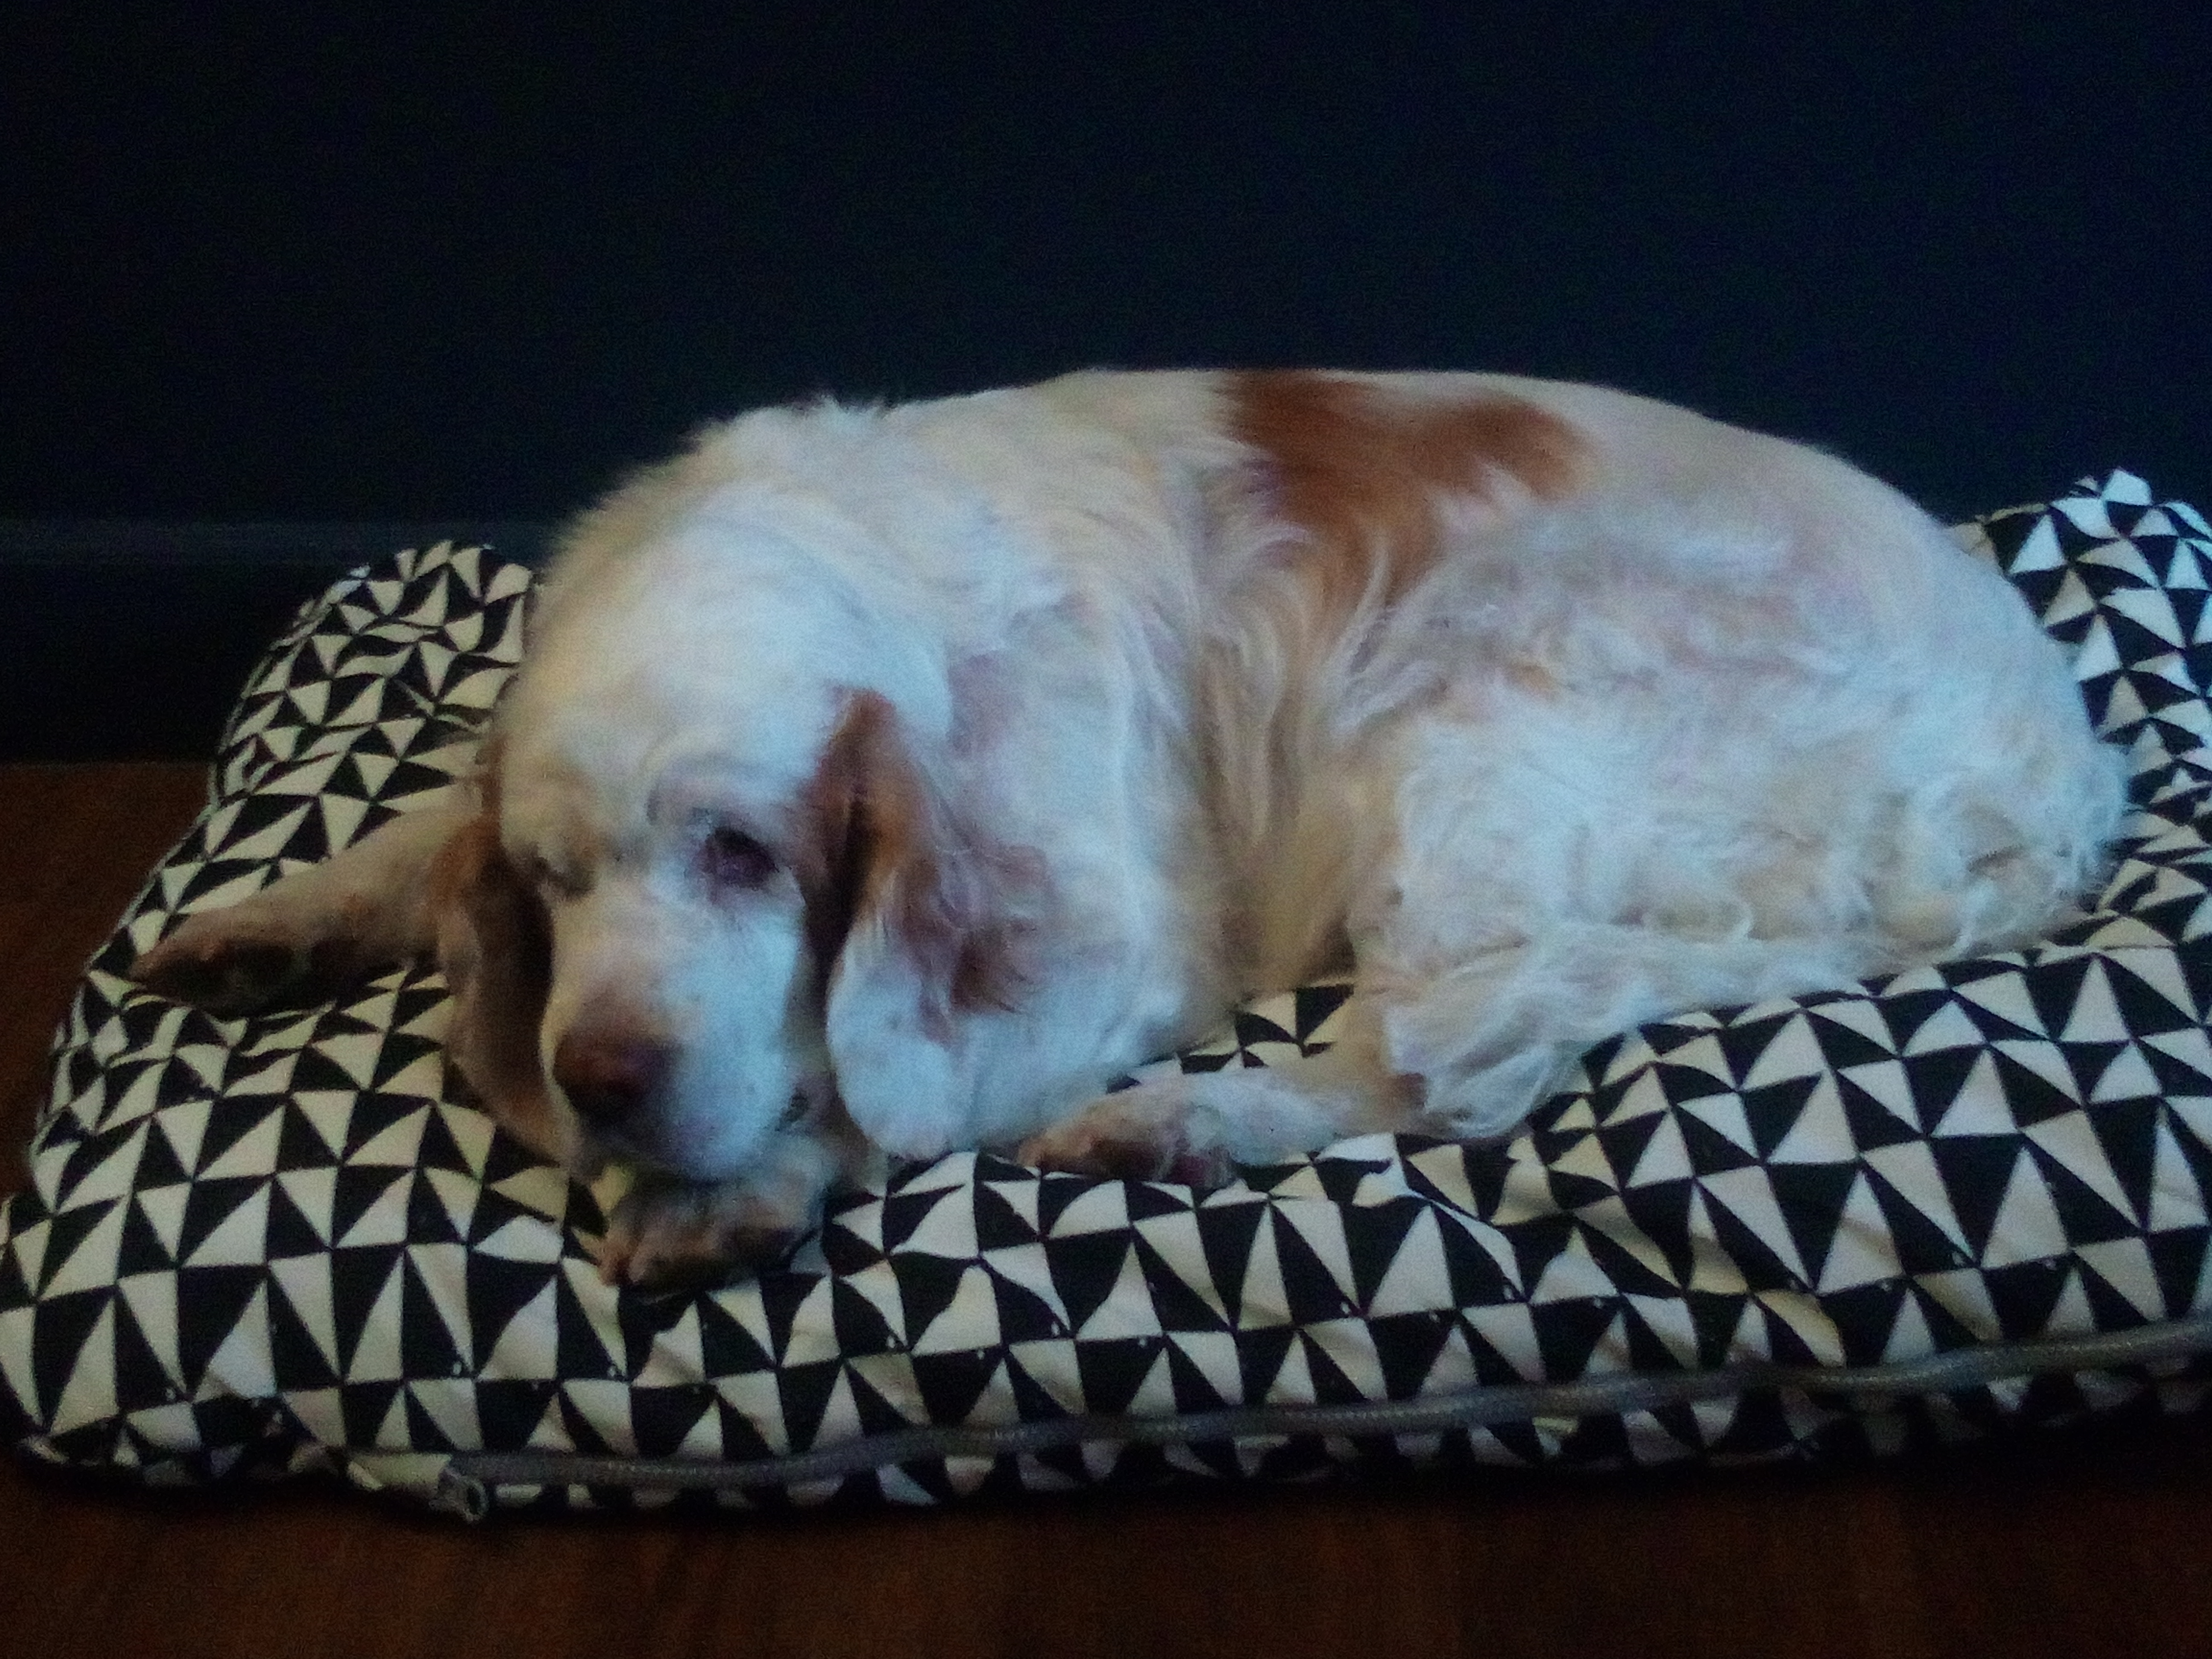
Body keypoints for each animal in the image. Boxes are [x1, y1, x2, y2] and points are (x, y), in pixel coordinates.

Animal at [132, 370, 2127, 1287]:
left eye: (745, 856)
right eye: (552, 883)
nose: (604, 1077)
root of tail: (2055, 763)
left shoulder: (1110, 934)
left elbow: (881, 1075)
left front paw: (739, 1185)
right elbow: (416, 830)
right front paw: (271, 915)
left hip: (1470, 686)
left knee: (1426, 1058)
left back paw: (1184, 1120)